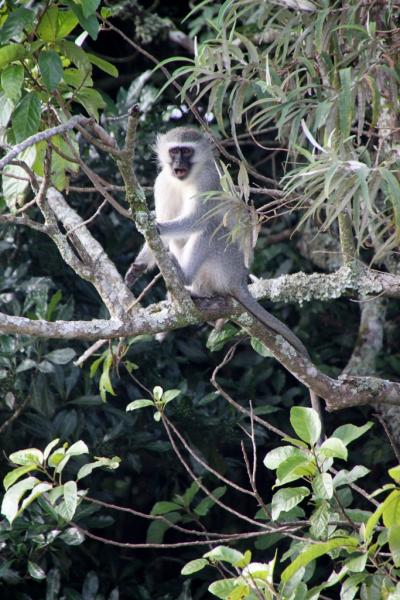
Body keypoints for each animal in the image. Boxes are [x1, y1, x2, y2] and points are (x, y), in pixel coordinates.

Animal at [125, 126, 311, 359]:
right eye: (174, 151)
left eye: (186, 151)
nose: (179, 164)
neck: (184, 180)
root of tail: (240, 280)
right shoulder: (162, 183)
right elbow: (163, 237)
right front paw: (138, 266)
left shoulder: (208, 180)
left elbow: (198, 219)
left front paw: (154, 225)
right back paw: (194, 290)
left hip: (228, 265)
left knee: (211, 227)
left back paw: (184, 277)